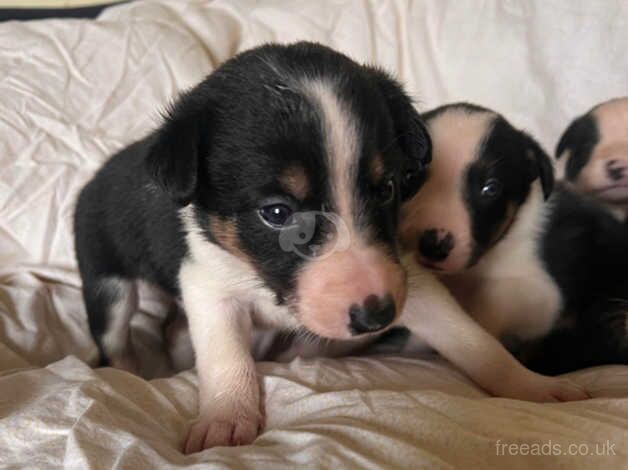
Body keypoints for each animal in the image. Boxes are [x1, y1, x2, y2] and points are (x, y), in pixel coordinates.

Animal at [72, 42, 432, 454]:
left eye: (387, 189)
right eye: (277, 213)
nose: (377, 316)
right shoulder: (207, 286)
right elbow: (226, 354)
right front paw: (226, 417)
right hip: (106, 284)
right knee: (115, 341)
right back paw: (132, 375)